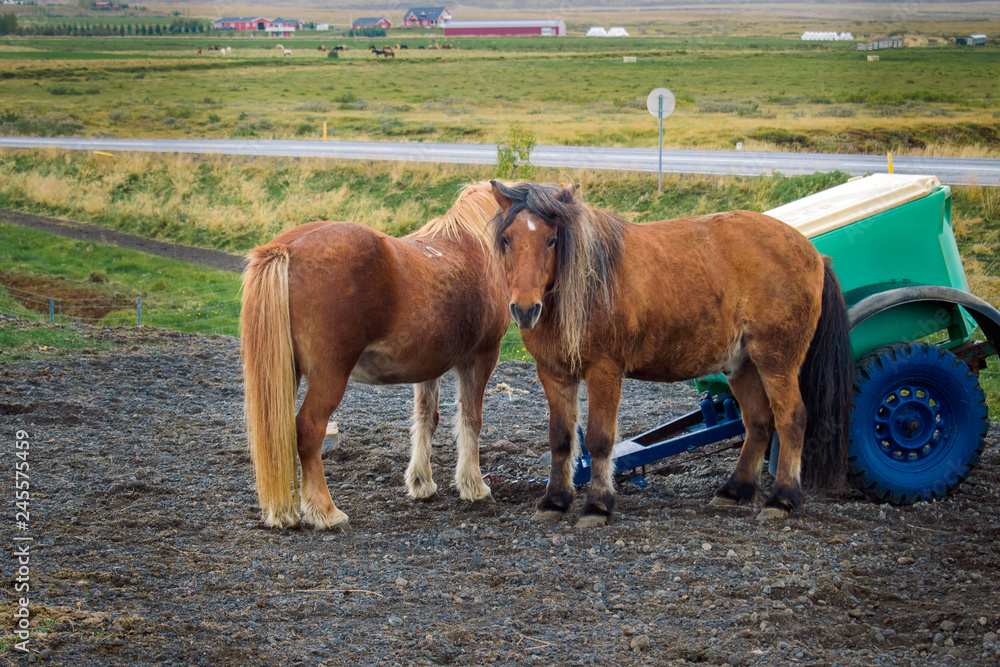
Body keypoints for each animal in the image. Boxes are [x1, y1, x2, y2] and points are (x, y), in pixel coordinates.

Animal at [241, 183, 509, 530]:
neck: (474, 245)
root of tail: (286, 247)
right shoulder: (480, 357)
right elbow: (471, 419)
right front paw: (473, 486)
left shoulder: (431, 367)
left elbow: (426, 418)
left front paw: (422, 483)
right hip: (328, 377)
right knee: (308, 429)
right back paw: (325, 511)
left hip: (284, 374)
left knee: (278, 435)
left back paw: (283, 513)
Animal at [489, 181, 853, 526]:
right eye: (506, 240)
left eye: (552, 240)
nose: (525, 310)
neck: (588, 284)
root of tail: (813, 253)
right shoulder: (553, 373)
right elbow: (561, 439)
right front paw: (555, 501)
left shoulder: (604, 371)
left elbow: (599, 439)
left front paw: (597, 505)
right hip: (742, 364)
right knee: (758, 422)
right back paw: (736, 489)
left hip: (776, 361)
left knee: (791, 419)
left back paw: (782, 498)